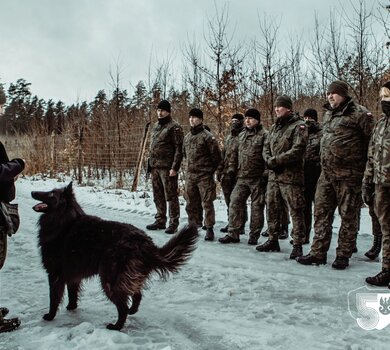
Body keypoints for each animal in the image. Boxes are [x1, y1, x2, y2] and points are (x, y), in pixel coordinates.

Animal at [31, 183, 198, 330]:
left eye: (51, 194)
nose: (32, 192)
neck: (64, 219)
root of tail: (145, 243)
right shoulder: (73, 275)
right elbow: (72, 294)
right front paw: (71, 307)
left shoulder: (54, 274)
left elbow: (54, 298)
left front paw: (50, 316)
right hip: (127, 277)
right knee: (137, 295)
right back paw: (132, 311)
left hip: (109, 279)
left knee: (122, 306)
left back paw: (116, 326)